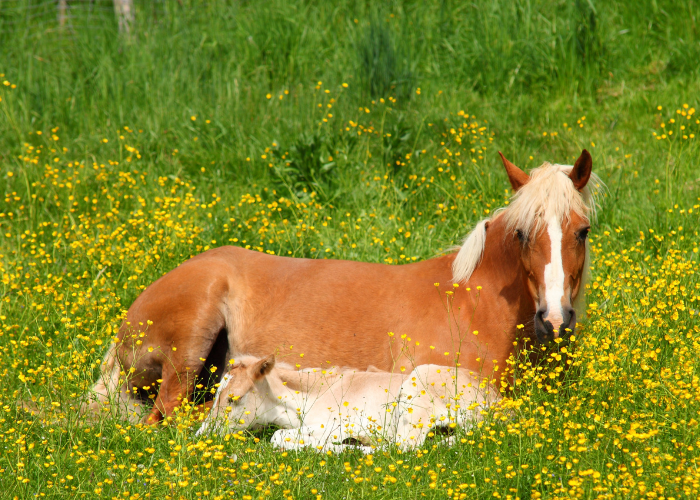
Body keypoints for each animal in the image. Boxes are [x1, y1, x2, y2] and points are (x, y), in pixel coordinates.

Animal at [87, 149, 600, 422]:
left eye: (581, 231)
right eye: (523, 235)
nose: (555, 320)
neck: (475, 305)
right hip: (191, 344)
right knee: (165, 415)